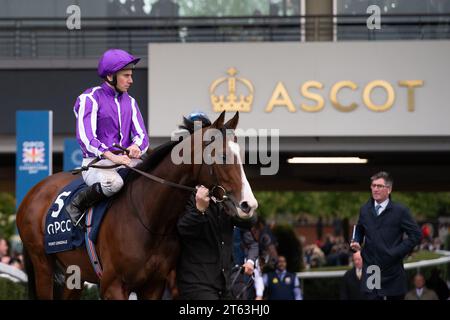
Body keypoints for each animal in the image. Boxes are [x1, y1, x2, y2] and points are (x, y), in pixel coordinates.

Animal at [16, 111, 256, 298]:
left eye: (242, 156)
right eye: (223, 156)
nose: (248, 205)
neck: (151, 220)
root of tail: (35, 190)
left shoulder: (154, 286)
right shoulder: (112, 286)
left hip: (73, 274)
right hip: (43, 266)